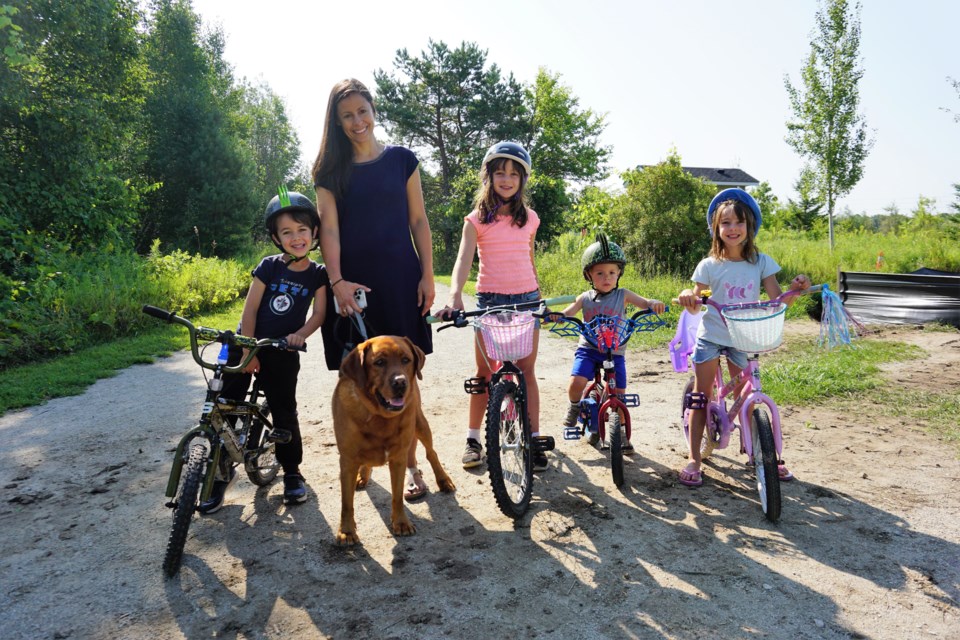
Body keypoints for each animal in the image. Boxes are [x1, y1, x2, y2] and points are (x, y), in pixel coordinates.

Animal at [332, 336, 456, 544]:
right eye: (379, 362)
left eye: (406, 360)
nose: (400, 383)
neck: (378, 416)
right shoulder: (347, 461)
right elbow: (346, 503)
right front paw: (347, 531)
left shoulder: (398, 457)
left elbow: (397, 496)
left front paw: (401, 523)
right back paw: (363, 476)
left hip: (420, 423)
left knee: (431, 453)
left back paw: (443, 480)